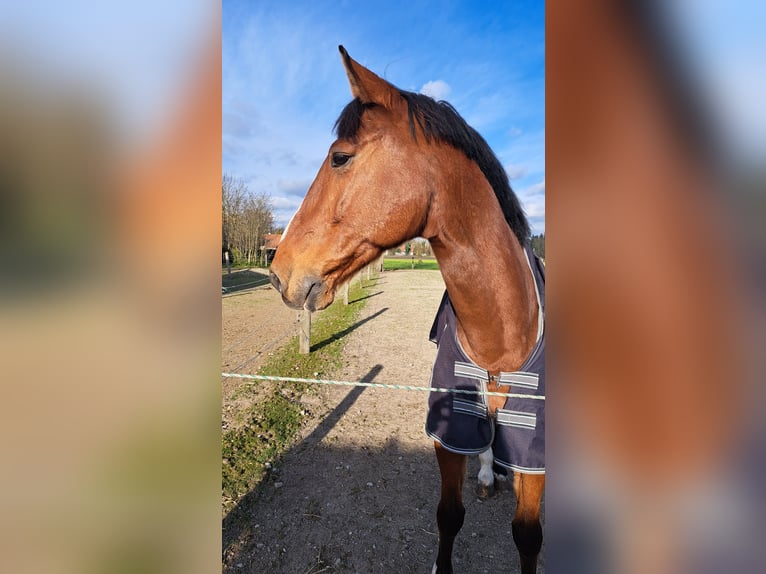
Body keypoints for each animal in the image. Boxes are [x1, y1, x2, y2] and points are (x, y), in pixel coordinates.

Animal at [270, 47, 544, 572]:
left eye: (340, 157)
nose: (277, 271)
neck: (502, 331)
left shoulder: (534, 455)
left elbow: (527, 536)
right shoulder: (449, 436)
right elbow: (448, 515)